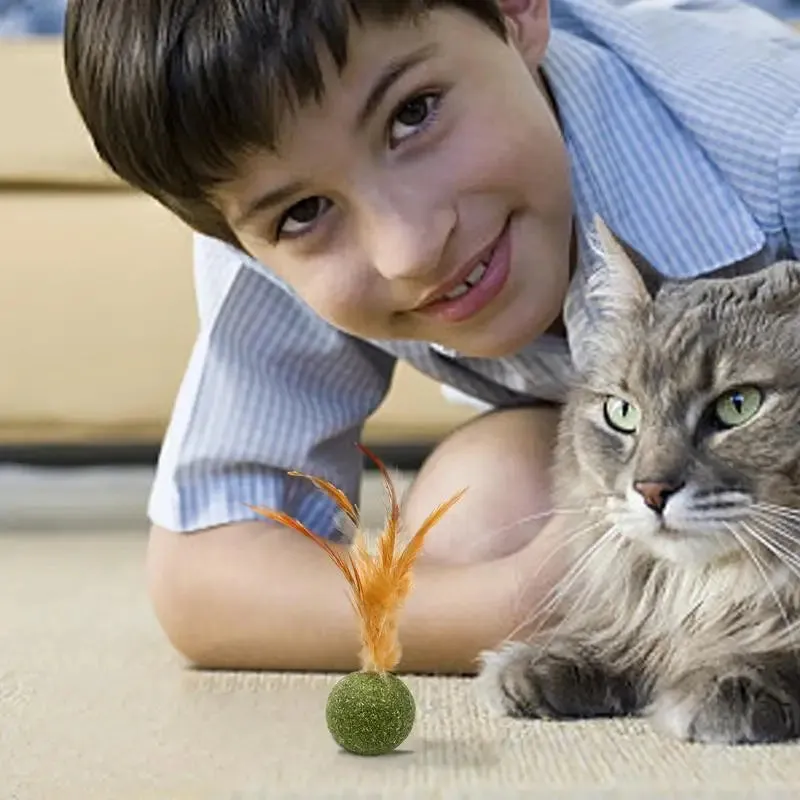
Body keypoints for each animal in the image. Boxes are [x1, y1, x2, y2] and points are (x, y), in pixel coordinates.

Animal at [476, 217, 800, 744]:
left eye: (739, 405)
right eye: (623, 413)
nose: (651, 491)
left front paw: (728, 681)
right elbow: (626, 636)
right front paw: (548, 662)